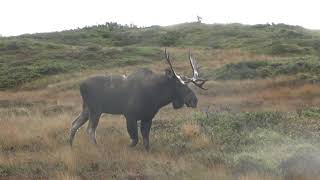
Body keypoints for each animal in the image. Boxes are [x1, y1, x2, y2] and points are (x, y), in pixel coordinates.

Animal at [69, 49, 206, 150]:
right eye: (178, 84)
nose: (194, 100)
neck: (156, 97)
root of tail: (81, 85)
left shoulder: (147, 118)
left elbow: (146, 142)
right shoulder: (130, 116)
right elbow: (135, 140)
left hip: (86, 109)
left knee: (74, 125)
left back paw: (70, 145)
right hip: (96, 110)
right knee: (90, 130)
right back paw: (96, 147)